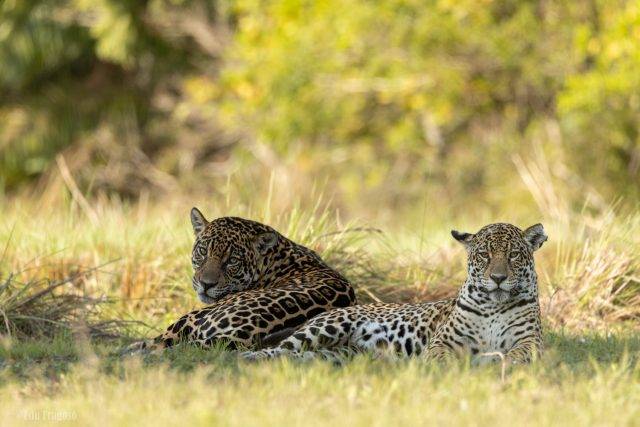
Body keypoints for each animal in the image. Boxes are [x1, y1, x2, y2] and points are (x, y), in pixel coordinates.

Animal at [124, 207, 357, 353]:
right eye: (203, 251)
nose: (206, 284)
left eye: (232, 261)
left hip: (192, 318)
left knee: (158, 344)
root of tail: (246, 333)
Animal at [241, 222, 548, 365]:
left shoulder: (531, 341)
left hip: (338, 354)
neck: (493, 307)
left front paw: (500, 362)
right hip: (325, 328)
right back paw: (249, 360)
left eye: (514, 255)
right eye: (484, 255)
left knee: (301, 357)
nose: (498, 278)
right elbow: (440, 356)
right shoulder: (443, 341)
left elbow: (519, 353)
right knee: (279, 348)